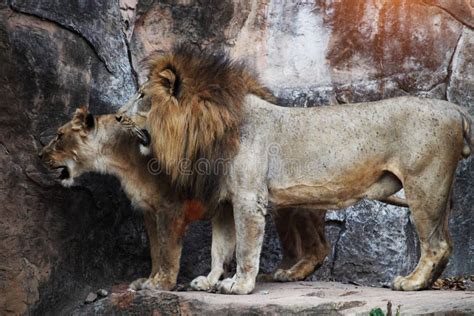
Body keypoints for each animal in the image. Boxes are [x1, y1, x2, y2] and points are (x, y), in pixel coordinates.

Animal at [38, 107, 334, 292]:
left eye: (59, 136)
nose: (40, 155)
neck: (119, 156)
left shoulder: (171, 208)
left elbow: (168, 251)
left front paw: (162, 284)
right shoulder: (149, 211)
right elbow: (155, 250)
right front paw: (148, 280)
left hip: (295, 203)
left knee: (319, 247)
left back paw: (292, 273)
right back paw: (278, 273)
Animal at [116, 45, 442, 296]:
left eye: (142, 96)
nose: (118, 116)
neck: (209, 128)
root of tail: (451, 111)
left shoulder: (248, 198)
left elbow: (245, 247)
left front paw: (239, 286)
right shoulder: (225, 202)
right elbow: (219, 248)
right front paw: (210, 281)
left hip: (424, 186)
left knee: (436, 244)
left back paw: (412, 283)